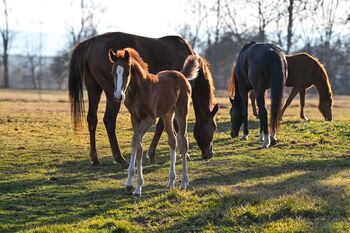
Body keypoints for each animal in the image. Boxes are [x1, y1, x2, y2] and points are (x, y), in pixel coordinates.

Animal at [67, 32, 217, 167]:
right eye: (214, 128)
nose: (209, 154)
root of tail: (89, 43)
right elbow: (164, 126)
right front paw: (156, 154)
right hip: (111, 94)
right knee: (109, 120)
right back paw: (120, 158)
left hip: (94, 90)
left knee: (92, 119)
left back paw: (95, 158)